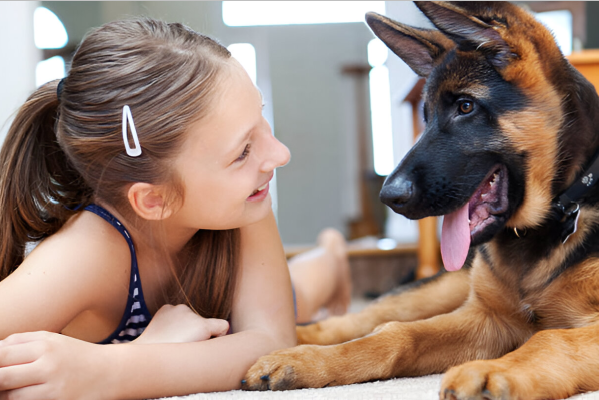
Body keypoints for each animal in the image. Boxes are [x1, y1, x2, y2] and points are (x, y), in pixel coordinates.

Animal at [241, 3, 599, 400]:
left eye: (465, 106)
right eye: (424, 117)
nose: (388, 197)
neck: (557, 215)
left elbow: (552, 340)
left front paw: (492, 372)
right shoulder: (485, 317)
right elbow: (397, 333)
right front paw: (309, 361)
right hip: (442, 287)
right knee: (369, 317)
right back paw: (292, 340)